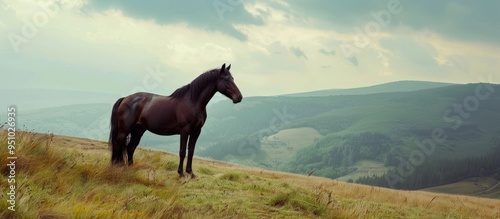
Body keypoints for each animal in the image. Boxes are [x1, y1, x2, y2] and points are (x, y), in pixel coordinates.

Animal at [109, 63, 242, 178]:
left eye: (233, 78)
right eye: (226, 79)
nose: (239, 97)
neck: (193, 101)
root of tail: (125, 98)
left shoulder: (196, 131)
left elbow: (191, 151)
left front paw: (191, 173)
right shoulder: (185, 130)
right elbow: (182, 152)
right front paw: (181, 174)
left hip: (138, 130)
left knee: (131, 147)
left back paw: (130, 168)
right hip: (124, 130)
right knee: (118, 145)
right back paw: (119, 166)